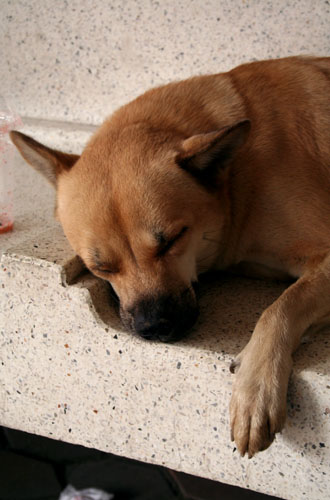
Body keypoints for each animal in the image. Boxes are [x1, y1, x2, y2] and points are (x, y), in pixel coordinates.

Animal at [10, 55, 330, 458]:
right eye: (101, 267)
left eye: (173, 239)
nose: (154, 327)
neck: (236, 180)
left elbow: (280, 308)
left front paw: (256, 388)